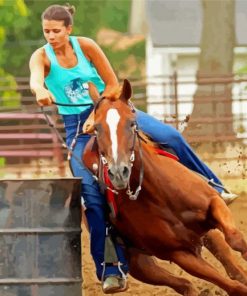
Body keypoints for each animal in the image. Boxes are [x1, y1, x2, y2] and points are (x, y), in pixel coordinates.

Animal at [83, 80, 247, 294]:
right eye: (96, 128)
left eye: (132, 123)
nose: (119, 172)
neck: (160, 195)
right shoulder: (179, 254)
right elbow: (232, 286)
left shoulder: (213, 204)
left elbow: (236, 241)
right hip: (141, 266)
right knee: (185, 285)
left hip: (207, 234)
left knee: (230, 266)